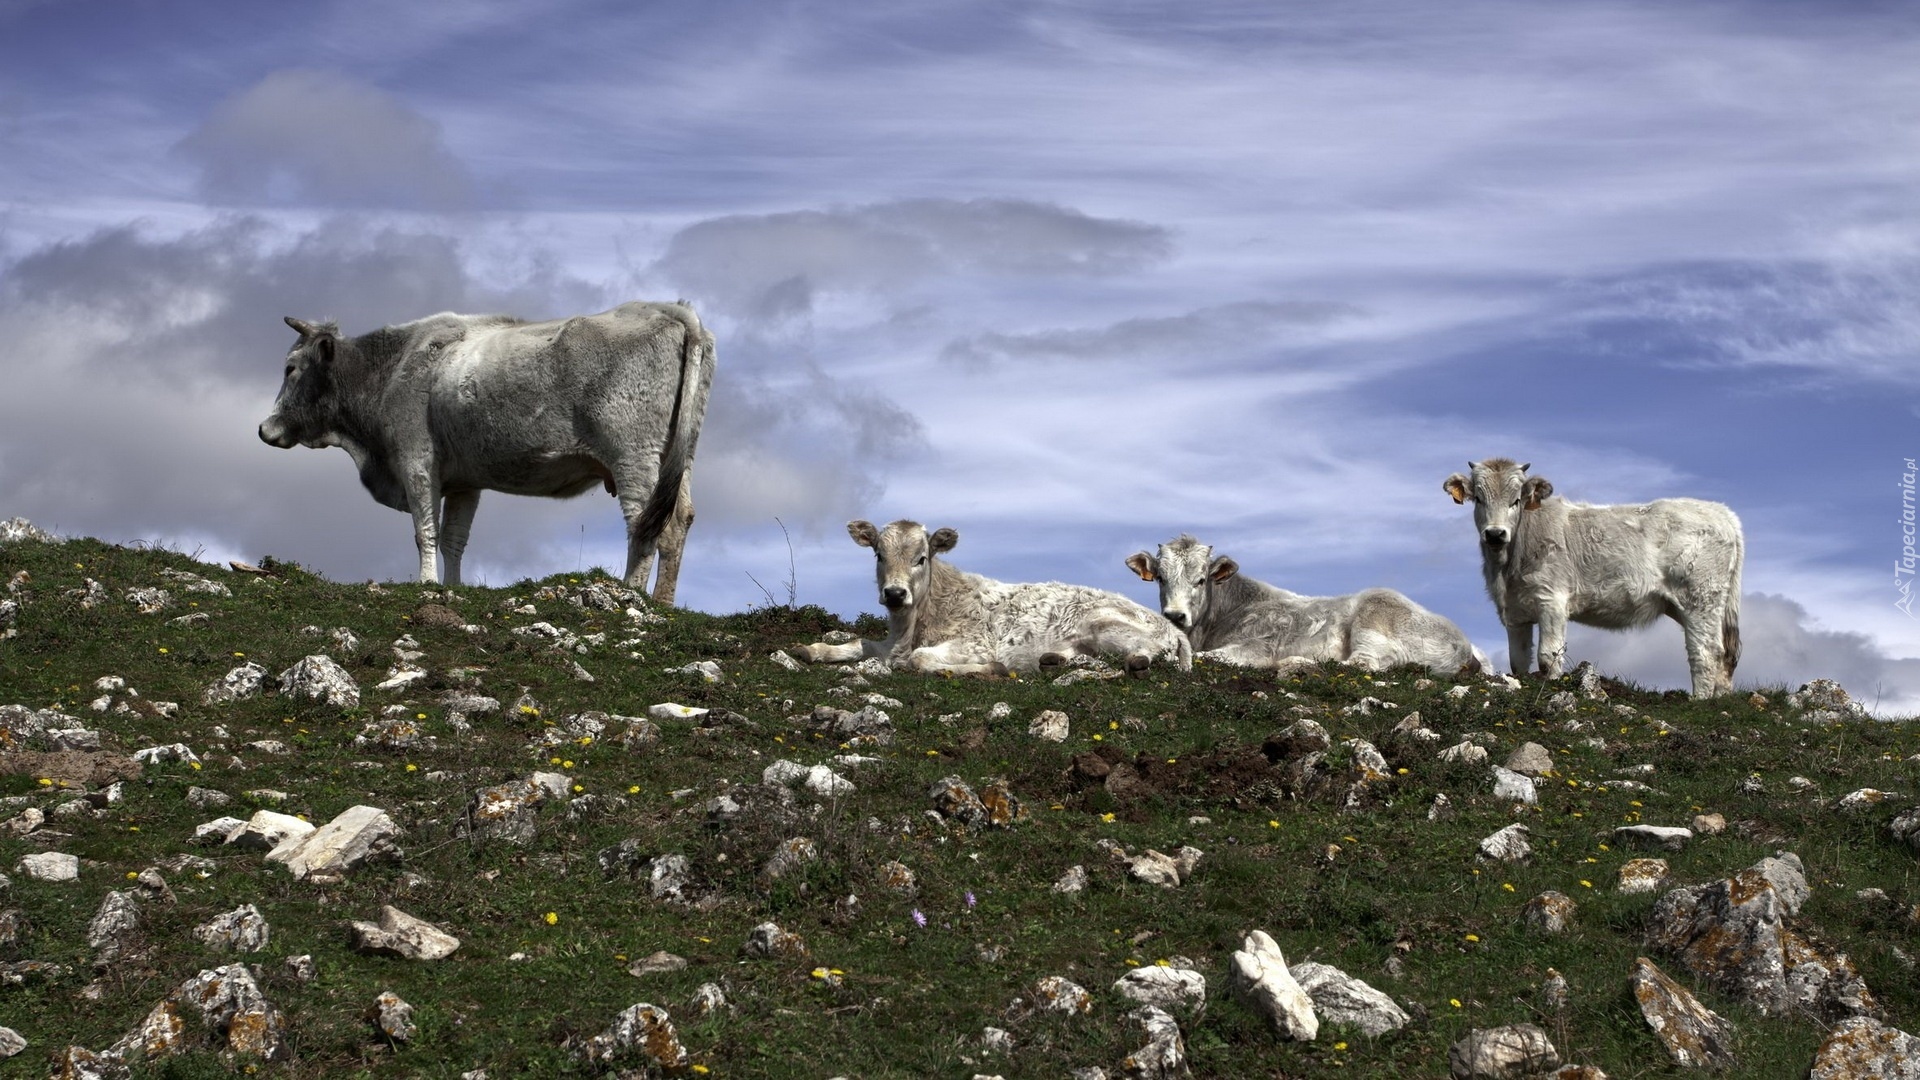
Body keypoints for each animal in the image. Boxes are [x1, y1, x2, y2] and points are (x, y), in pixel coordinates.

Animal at [259, 297, 718, 591]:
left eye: (291, 367)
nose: (265, 428)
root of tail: (671, 310)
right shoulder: (465, 482)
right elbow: (453, 539)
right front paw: (452, 588)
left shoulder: (416, 460)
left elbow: (425, 531)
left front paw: (426, 585)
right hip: (678, 458)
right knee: (677, 522)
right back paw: (663, 602)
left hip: (633, 455)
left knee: (643, 522)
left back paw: (632, 595)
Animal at [791, 515, 1182, 672]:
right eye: (878, 555)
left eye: (921, 558)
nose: (895, 593)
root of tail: (1173, 629)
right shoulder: (889, 645)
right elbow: (859, 643)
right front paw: (811, 649)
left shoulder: (977, 643)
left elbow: (920, 659)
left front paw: (991, 668)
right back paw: (1053, 660)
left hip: (1103, 625)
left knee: (1145, 652)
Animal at [1121, 530, 1482, 672]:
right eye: (1161, 578)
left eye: (1200, 580)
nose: (1175, 615)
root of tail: (1463, 644)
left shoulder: (1260, 644)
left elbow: (1212, 657)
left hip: (1375, 616)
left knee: (1363, 662)